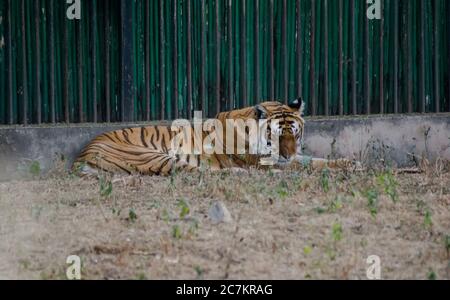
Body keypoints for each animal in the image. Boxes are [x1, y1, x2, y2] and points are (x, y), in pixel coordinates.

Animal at [73, 99, 356, 176]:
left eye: (294, 136)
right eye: (275, 137)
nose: (287, 154)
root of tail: (82, 153)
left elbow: (316, 160)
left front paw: (351, 163)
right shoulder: (261, 160)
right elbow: (306, 164)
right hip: (152, 156)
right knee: (198, 172)